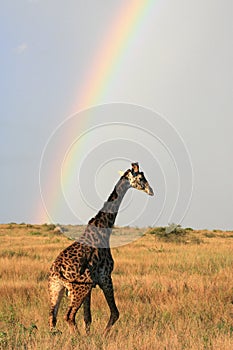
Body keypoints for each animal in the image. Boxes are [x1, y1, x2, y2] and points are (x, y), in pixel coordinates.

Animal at [48, 163, 154, 334]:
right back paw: (76, 337)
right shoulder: (105, 277)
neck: (104, 227)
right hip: (78, 288)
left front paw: (89, 335)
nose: (151, 191)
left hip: (55, 288)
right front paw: (102, 336)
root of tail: (57, 270)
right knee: (68, 316)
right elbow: (115, 313)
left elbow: (87, 318)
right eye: (140, 178)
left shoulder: (91, 286)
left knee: (52, 318)